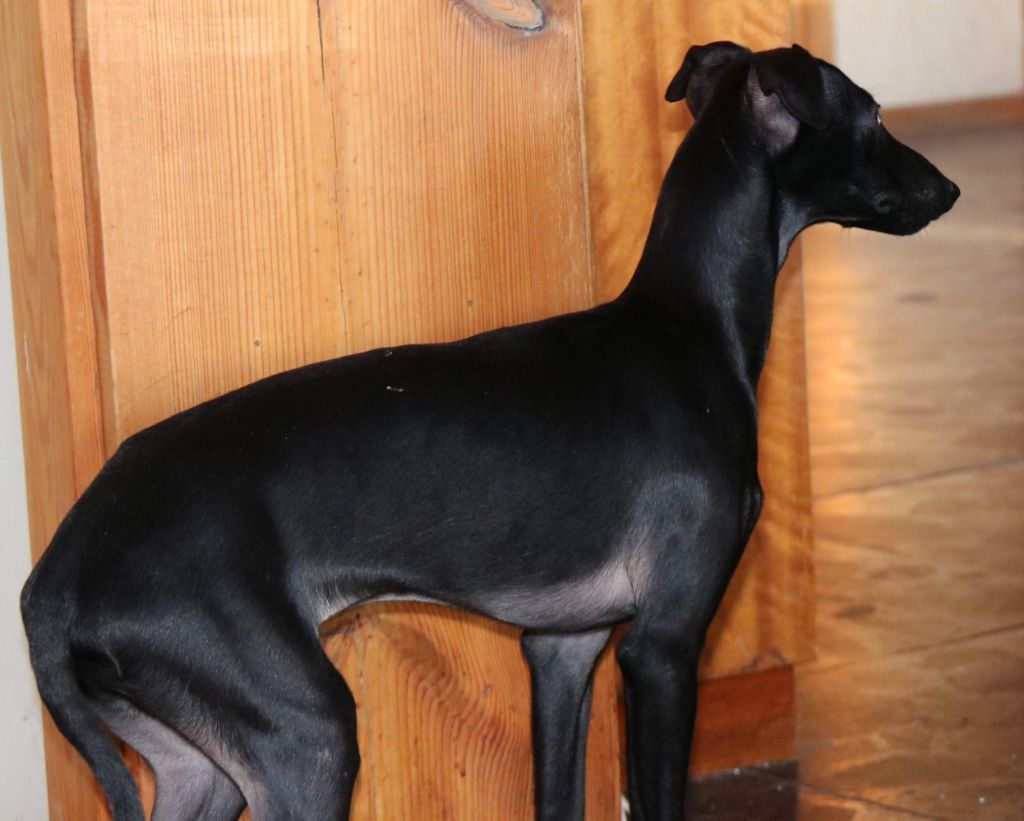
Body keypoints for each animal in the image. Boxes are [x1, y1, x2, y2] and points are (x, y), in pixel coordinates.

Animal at [22, 41, 958, 821]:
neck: (688, 328)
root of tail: (61, 568)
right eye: (874, 113)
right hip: (305, 734)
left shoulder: (562, 649)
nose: (948, 190)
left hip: (200, 762)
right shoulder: (662, 650)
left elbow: (559, 795)